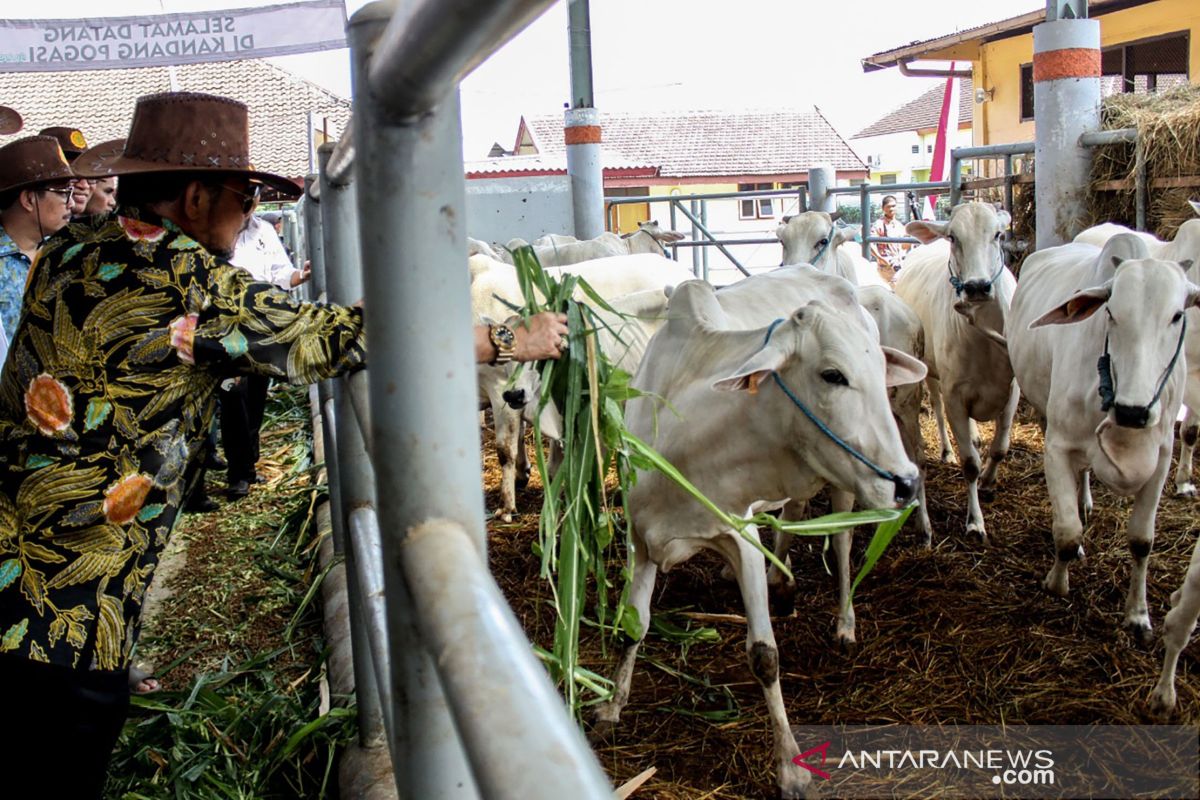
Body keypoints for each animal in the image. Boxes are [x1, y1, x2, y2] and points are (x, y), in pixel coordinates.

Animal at [595, 272, 921, 796]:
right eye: (833, 375)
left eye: (878, 370)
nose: (908, 482)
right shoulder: (640, 537)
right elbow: (633, 625)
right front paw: (611, 706)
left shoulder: (741, 536)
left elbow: (764, 656)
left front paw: (790, 767)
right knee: (792, 515)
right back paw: (781, 581)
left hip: (845, 486)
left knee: (843, 544)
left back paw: (844, 622)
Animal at [897, 205, 1017, 544]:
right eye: (953, 237)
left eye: (998, 234)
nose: (977, 287)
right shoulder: (955, 395)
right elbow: (970, 464)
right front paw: (975, 521)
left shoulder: (1012, 390)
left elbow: (1000, 448)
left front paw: (989, 482)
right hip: (930, 374)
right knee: (937, 410)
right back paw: (948, 450)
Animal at [1012, 236, 1190, 652]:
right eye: (1111, 312)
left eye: (1177, 316)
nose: (1133, 411)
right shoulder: (1057, 447)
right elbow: (1066, 532)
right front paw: (1056, 583)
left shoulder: (1162, 459)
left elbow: (1142, 540)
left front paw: (1138, 615)